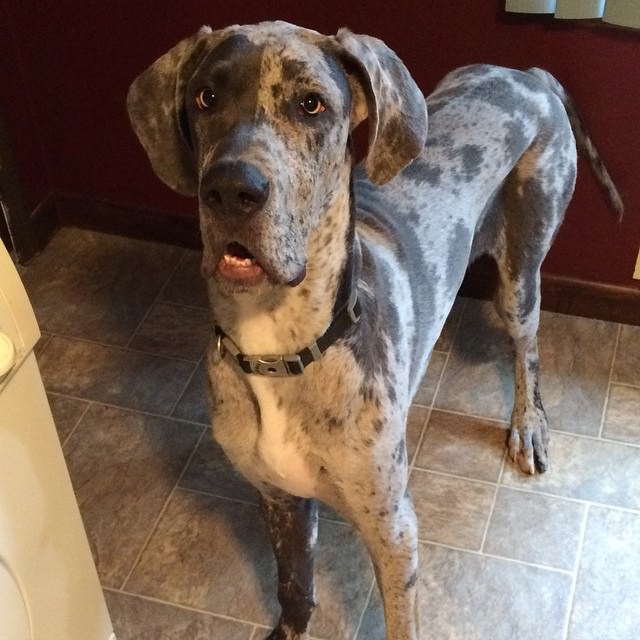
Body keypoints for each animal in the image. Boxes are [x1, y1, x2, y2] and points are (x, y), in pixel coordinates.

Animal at [127, 20, 624, 640]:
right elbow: (294, 587)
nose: (230, 190)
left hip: (522, 270)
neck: (283, 347)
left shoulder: (394, 531)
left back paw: (529, 425)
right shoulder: (279, 499)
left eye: (311, 104)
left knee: (527, 347)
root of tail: (526, 74)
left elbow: (400, 620)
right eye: (205, 97)